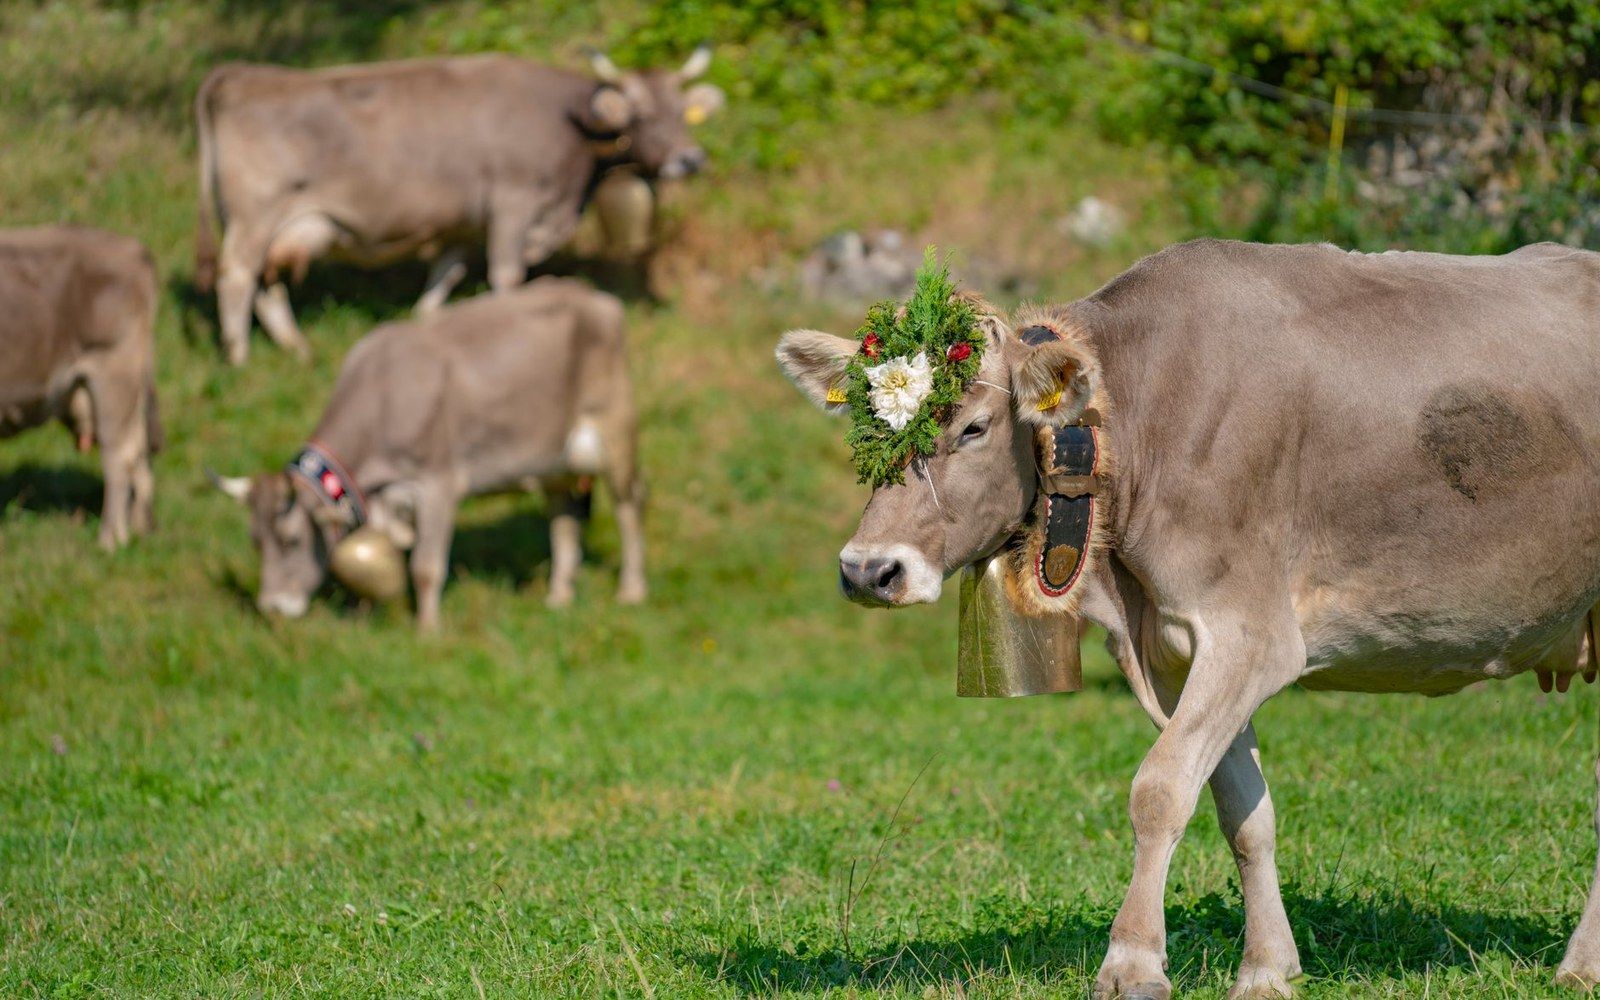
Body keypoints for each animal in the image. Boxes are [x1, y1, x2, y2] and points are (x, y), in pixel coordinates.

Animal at [0, 225, 161, 549]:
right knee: (138, 454)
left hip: (113, 371)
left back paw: (111, 539)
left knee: (120, 455)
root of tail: (131, 248)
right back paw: (138, 529)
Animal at [193, 47, 724, 364]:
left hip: (271, 226)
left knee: (267, 283)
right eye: (643, 115)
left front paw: (427, 318)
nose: (690, 158)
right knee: (236, 277)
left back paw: (296, 347)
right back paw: (238, 355)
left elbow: (447, 272)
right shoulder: (513, 203)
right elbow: (506, 276)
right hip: (255, 215)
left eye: (684, 113)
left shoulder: (466, 219)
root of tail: (242, 73)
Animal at [210, 278, 644, 630]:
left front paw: (427, 630)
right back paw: (558, 595)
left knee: (628, 507)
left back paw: (632, 591)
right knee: (563, 518)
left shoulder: (438, 483)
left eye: (292, 540)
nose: (273, 607)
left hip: (615, 429)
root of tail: (594, 296)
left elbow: (425, 567)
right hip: (554, 459)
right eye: (255, 542)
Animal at [777, 238, 1600, 998]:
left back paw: (1580, 964)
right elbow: (1243, 813)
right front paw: (1267, 968)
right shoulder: (1175, 652)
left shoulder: (1252, 634)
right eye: (866, 431)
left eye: (976, 427)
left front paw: (1132, 962)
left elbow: (1161, 790)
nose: (868, 569)